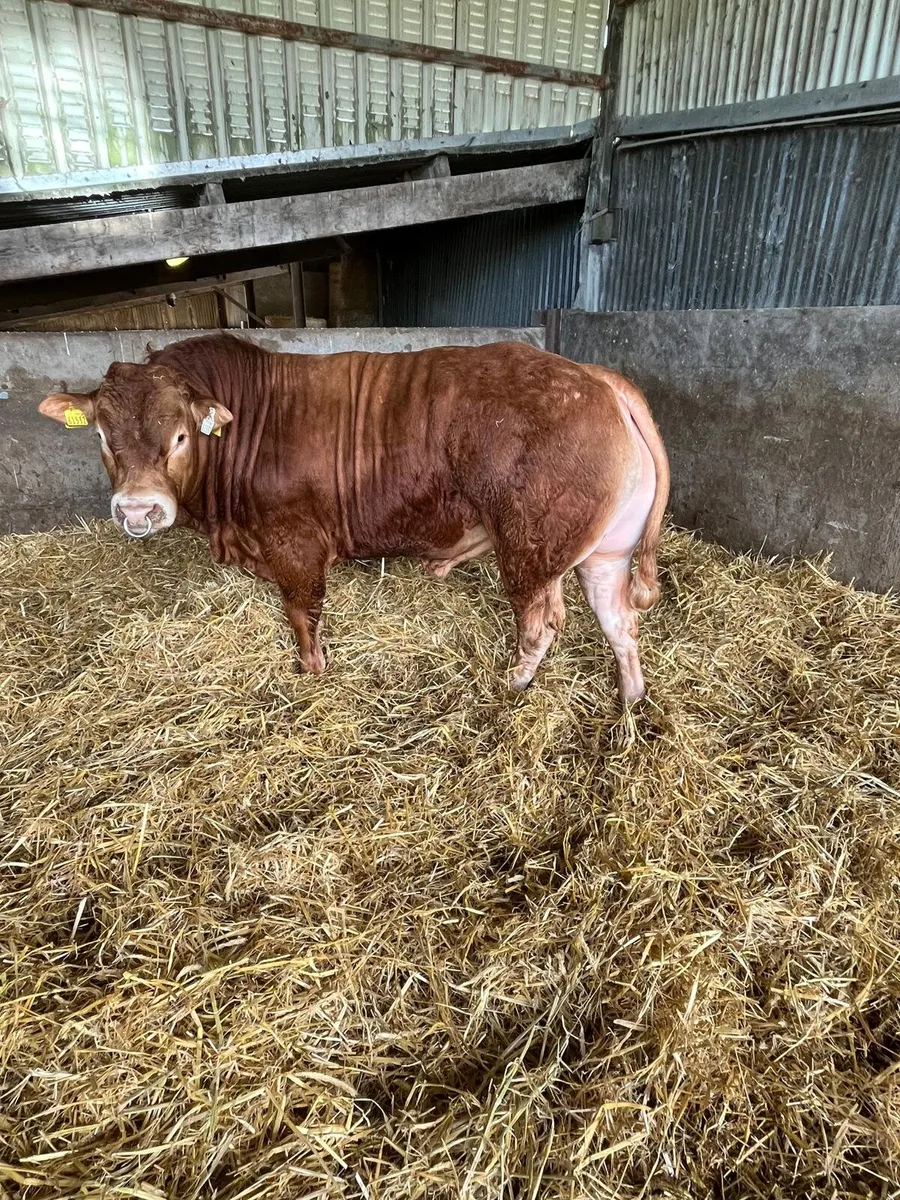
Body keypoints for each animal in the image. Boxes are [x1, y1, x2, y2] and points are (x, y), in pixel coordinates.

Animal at [38, 336, 669, 702]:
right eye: (102, 435)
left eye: (179, 436)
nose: (138, 508)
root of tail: (594, 377)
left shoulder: (294, 542)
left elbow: (303, 613)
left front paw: (312, 671)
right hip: (604, 554)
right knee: (619, 623)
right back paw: (631, 698)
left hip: (530, 550)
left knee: (542, 623)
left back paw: (512, 682)